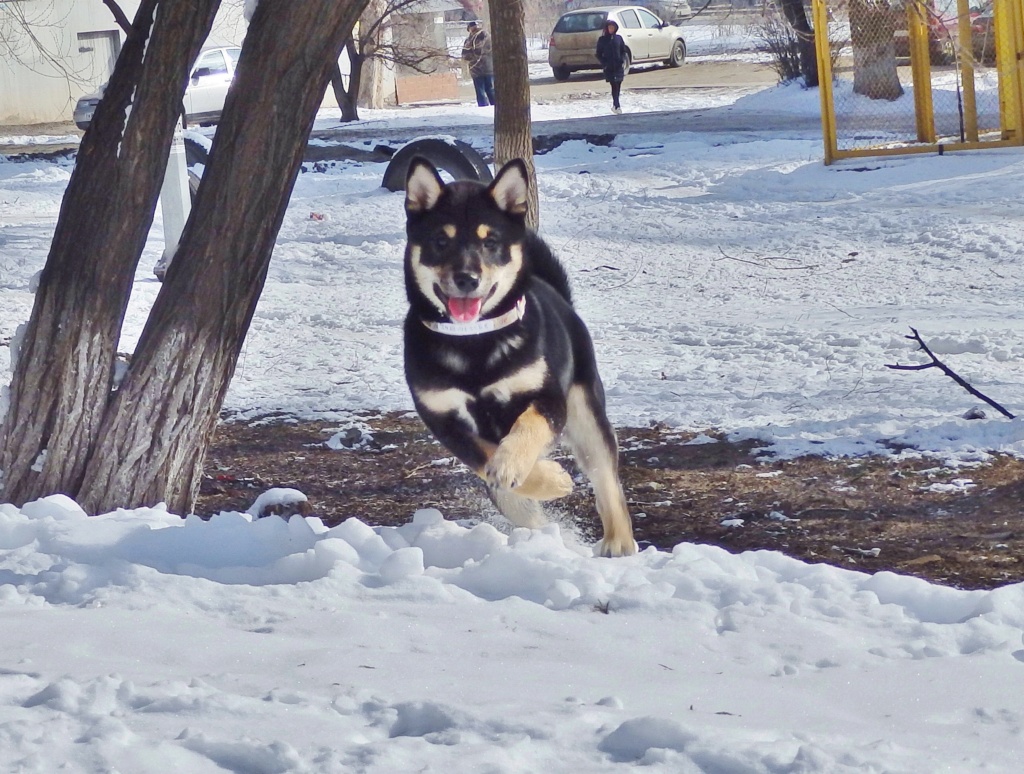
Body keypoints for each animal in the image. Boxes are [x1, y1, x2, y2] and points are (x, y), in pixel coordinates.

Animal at [401, 157, 634, 556]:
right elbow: (485, 458)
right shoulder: (444, 421)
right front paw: (548, 480)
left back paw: (618, 542)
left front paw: (526, 469)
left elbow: (526, 428)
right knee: (515, 500)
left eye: (490, 241)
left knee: (607, 480)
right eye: (440, 241)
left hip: (586, 413)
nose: (467, 278)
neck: (475, 344)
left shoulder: (549, 399)